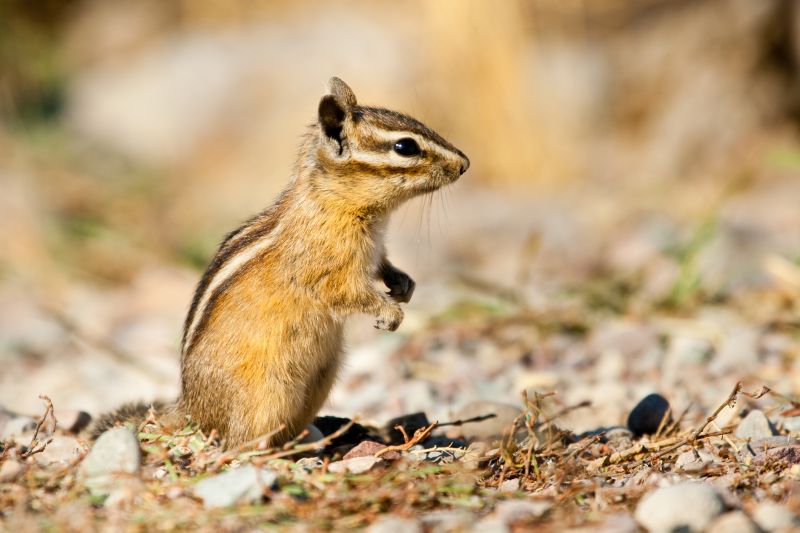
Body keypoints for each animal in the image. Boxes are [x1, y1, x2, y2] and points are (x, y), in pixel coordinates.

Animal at [91, 77, 469, 447]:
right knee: (239, 442)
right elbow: (346, 292)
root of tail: (189, 409)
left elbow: (384, 266)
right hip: (265, 396)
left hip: (322, 379)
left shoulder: (376, 252)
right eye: (405, 147)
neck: (340, 204)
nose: (464, 163)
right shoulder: (327, 269)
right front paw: (390, 313)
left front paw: (403, 285)